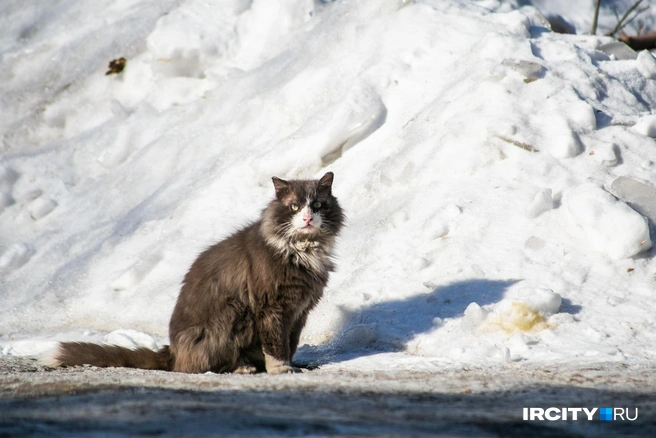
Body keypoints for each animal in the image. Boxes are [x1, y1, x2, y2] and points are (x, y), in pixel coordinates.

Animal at [46, 173, 346, 374]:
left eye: (318, 205)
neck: (302, 249)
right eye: (294, 206)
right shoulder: (271, 307)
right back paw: (243, 367)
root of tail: (172, 352)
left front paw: (292, 365)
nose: (307, 218)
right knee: (203, 365)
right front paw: (281, 370)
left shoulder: (299, 310)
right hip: (232, 312)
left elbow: (290, 342)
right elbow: (275, 344)